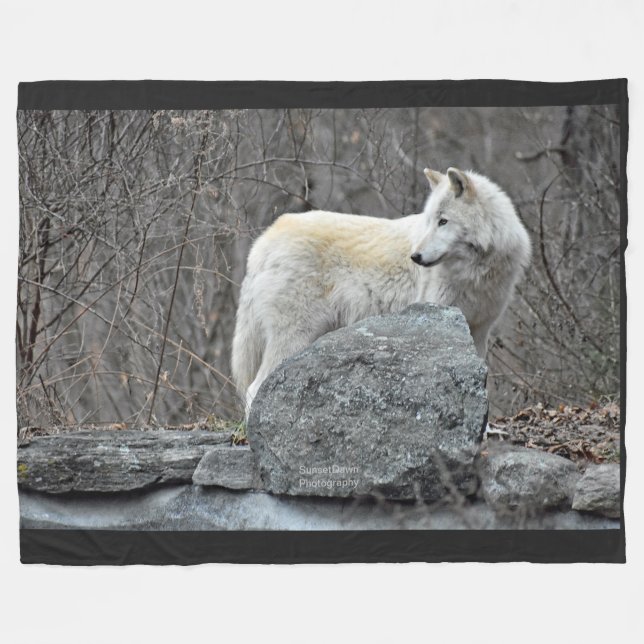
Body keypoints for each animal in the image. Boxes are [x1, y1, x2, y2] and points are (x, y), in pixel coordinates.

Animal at [232, 167, 531, 413]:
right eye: (430, 221)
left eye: (443, 221)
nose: (416, 257)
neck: (475, 272)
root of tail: (263, 241)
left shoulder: (479, 331)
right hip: (294, 337)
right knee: (254, 388)